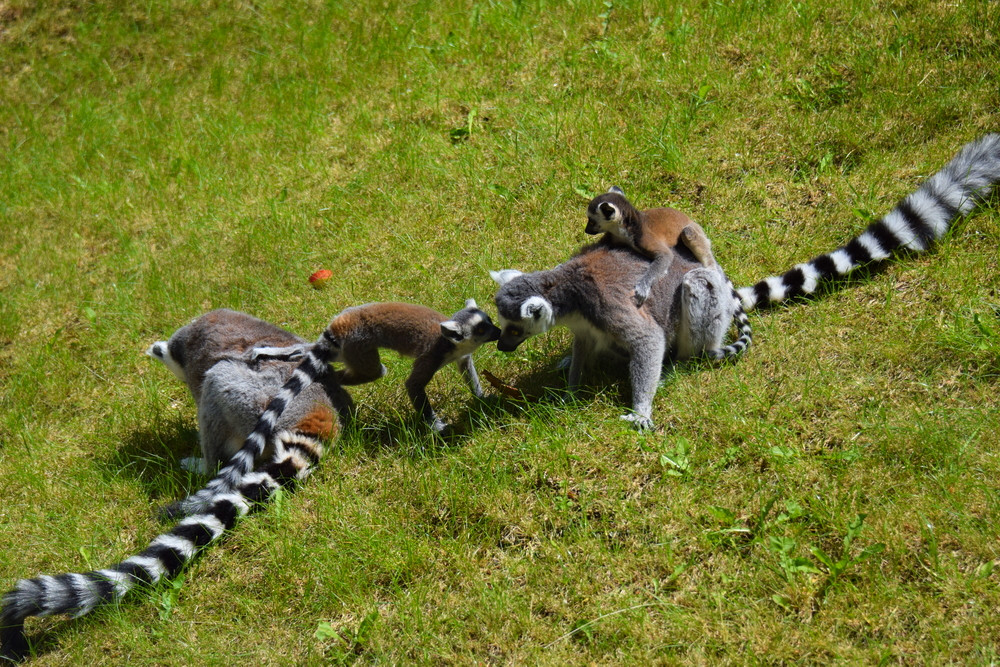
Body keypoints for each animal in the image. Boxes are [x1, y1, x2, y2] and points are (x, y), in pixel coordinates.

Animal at [166, 299, 501, 520]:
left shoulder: (459, 355)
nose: (499, 332)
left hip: (347, 346)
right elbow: (414, 385)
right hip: (359, 343)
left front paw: (481, 395)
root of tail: (342, 322)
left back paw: (287, 356)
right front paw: (436, 425)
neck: (453, 344)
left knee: (315, 355)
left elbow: (466, 369)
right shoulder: (434, 352)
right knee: (369, 370)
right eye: (484, 328)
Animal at [491, 242, 751, 431]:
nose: (501, 346)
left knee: (696, 283)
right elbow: (582, 348)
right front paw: (570, 393)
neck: (569, 290)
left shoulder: (606, 304)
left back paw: (679, 364)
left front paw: (641, 412)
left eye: (514, 330)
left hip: (713, 309)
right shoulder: (585, 327)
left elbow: (648, 339)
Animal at [585, 185, 718, 307]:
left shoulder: (643, 238)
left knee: (688, 233)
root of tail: (690, 219)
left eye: (591, 221)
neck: (627, 228)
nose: (586, 230)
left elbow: (666, 255)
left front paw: (643, 287)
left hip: (695, 231)